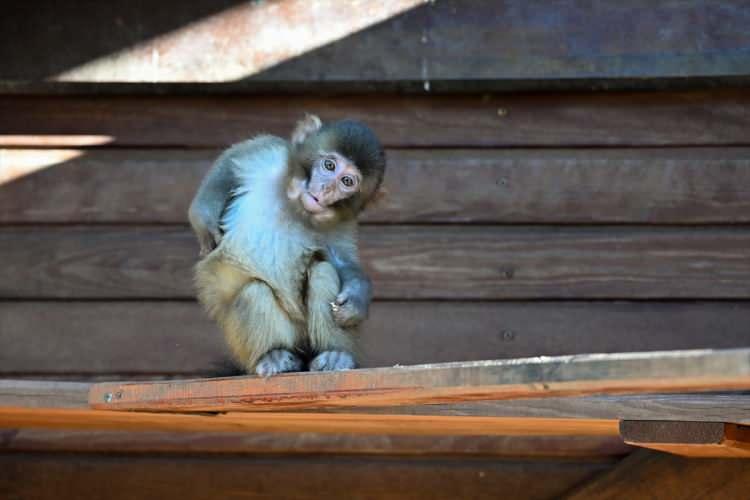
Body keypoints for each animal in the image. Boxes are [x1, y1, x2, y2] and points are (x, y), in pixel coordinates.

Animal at [188, 115, 388, 376]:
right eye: (329, 166)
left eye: (347, 181)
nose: (326, 189)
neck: (295, 206)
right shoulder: (269, 155)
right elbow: (231, 162)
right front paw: (204, 218)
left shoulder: (340, 225)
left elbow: (343, 262)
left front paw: (356, 299)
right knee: (253, 290)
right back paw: (273, 355)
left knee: (323, 272)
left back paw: (335, 355)